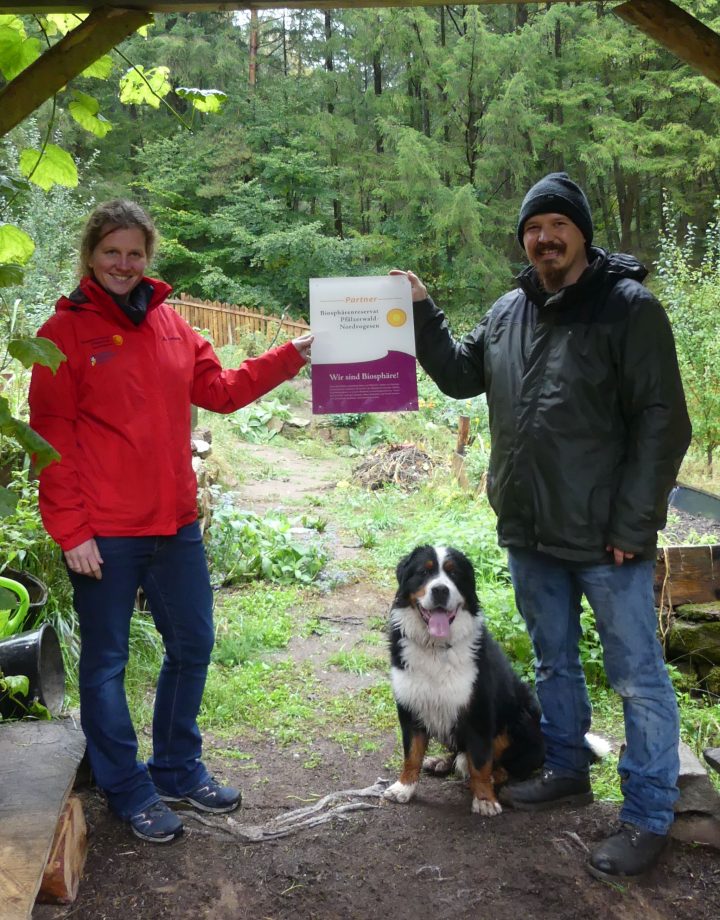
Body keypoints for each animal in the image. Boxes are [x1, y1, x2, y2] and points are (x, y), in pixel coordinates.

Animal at [386, 544, 544, 816]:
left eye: (454, 573)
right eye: (424, 572)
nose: (440, 590)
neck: (436, 648)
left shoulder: (478, 710)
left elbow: (480, 761)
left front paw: (484, 800)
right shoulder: (410, 704)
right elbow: (412, 754)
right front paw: (404, 787)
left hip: (521, 714)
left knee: (511, 765)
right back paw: (441, 762)